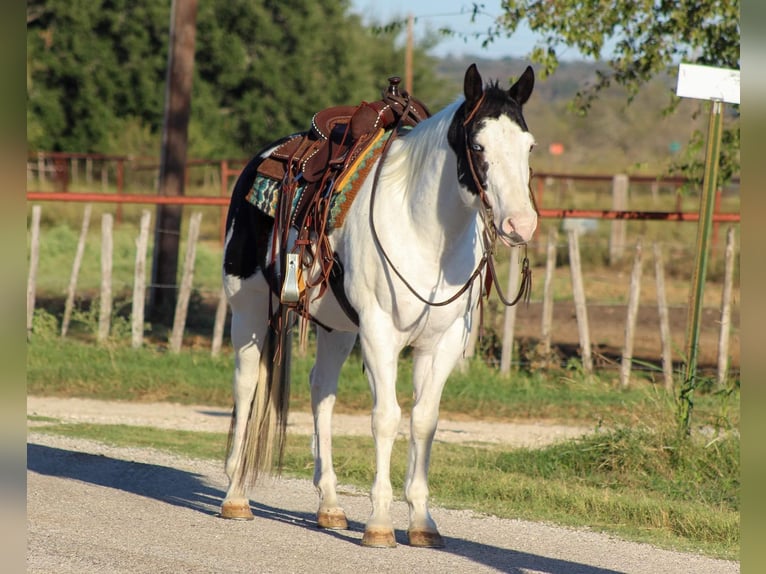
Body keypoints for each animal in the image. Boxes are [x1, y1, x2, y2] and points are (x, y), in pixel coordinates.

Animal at [219, 63, 538, 548]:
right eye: (478, 145)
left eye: (529, 146)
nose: (521, 224)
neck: (424, 233)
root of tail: (262, 158)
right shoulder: (379, 334)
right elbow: (386, 417)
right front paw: (381, 522)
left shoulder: (441, 343)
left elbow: (424, 421)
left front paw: (422, 522)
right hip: (251, 309)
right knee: (246, 384)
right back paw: (236, 497)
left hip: (336, 329)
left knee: (321, 392)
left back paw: (330, 506)